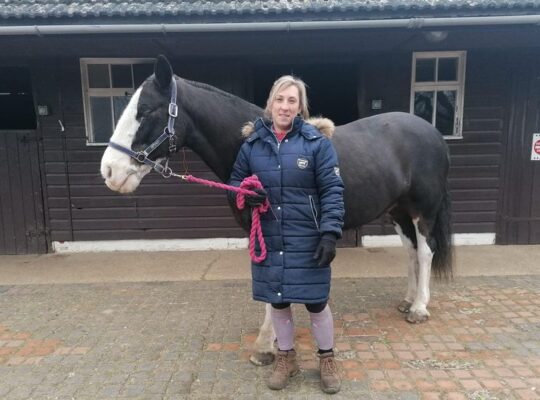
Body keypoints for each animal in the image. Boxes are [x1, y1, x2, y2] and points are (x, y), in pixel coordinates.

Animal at [100, 54, 452, 368]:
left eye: (145, 111)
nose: (109, 171)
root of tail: (433, 132)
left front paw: (266, 346)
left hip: (423, 210)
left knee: (425, 251)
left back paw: (420, 308)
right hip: (399, 212)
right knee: (410, 251)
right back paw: (407, 301)